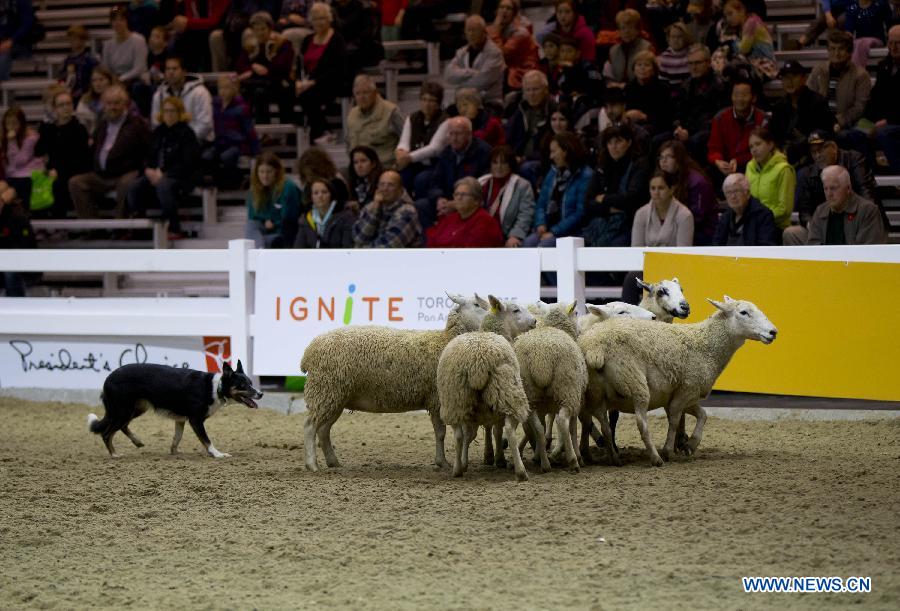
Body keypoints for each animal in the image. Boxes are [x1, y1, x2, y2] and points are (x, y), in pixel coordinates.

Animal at [87, 358, 262, 460]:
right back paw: (114, 454)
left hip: (135, 409)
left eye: (250, 383)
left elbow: (177, 437)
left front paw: (174, 452)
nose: (260, 393)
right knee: (106, 433)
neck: (215, 388)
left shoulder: (181, 420)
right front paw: (217, 454)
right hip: (123, 410)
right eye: (243, 385)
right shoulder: (195, 420)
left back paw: (137, 442)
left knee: (122, 427)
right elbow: (207, 440)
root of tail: (108, 378)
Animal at [300, 292, 488, 474]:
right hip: (325, 390)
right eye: (476, 305)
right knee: (310, 427)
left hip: (334, 397)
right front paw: (442, 462)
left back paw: (333, 462)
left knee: (323, 430)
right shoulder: (436, 399)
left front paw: (442, 462)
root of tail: (308, 351)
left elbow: (441, 433)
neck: (445, 341)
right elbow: (440, 433)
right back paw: (312, 465)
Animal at [440, 296, 536, 482]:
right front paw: (498, 459)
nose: (535, 321)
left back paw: (457, 470)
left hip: (455, 397)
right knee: (510, 429)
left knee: (458, 434)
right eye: (515, 310)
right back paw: (521, 472)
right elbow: (497, 431)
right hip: (507, 390)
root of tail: (477, 360)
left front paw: (466, 462)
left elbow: (470, 433)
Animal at [580, 298, 776, 466]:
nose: (773, 332)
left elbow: (702, 414)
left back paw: (613, 457)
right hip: (636, 384)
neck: (705, 345)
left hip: (597, 393)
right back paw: (656, 458)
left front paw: (690, 445)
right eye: (744, 312)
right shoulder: (687, 388)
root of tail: (596, 349)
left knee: (603, 424)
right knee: (641, 423)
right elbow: (674, 419)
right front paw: (669, 450)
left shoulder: (681, 393)